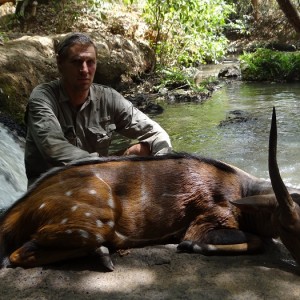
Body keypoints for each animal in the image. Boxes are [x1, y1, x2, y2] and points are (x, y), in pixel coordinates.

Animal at [0, 107, 300, 270]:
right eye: (286, 225)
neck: (242, 192)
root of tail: (14, 212)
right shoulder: (208, 219)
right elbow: (257, 241)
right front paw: (191, 246)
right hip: (91, 220)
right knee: (17, 254)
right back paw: (104, 255)